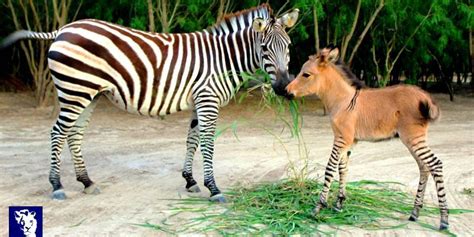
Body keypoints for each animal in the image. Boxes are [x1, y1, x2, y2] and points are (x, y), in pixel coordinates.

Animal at [2, 4, 300, 202]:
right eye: (264, 49)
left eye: (288, 46)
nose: (284, 89)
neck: (222, 59)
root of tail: (64, 28)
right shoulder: (208, 99)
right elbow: (207, 143)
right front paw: (213, 188)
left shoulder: (199, 101)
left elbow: (192, 140)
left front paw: (190, 181)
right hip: (75, 91)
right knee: (57, 132)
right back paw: (56, 185)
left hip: (89, 93)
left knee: (74, 134)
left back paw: (86, 181)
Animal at [286, 46, 448, 230]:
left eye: (306, 74)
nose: (286, 92)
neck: (342, 101)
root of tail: (425, 96)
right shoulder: (348, 140)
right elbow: (343, 168)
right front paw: (339, 204)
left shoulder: (341, 139)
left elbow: (330, 169)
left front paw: (318, 207)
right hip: (412, 140)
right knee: (424, 167)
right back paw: (415, 213)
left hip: (413, 138)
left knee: (435, 164)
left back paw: (444, 219)